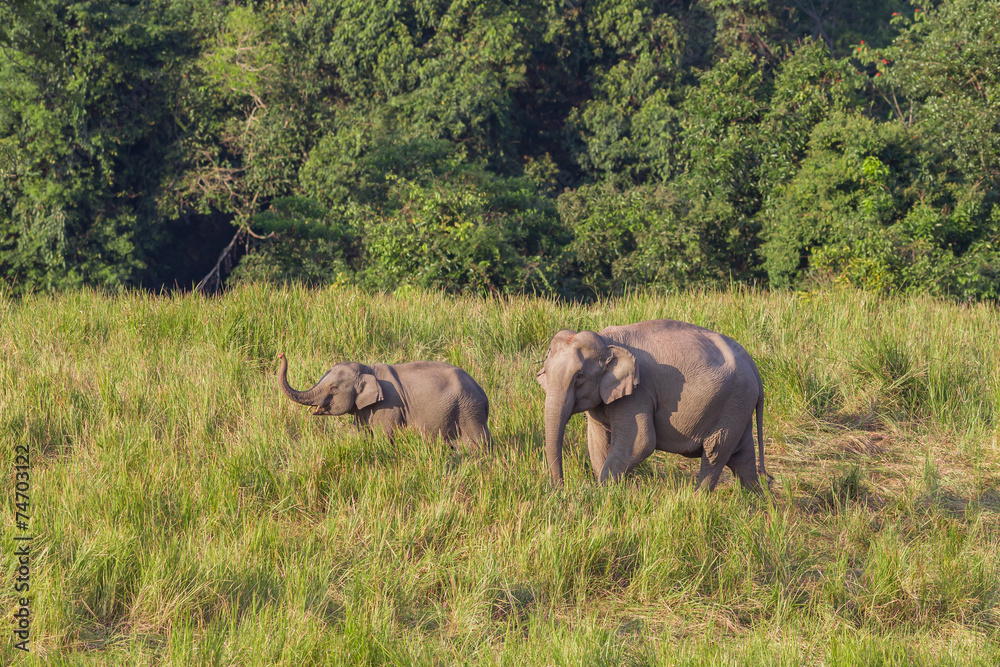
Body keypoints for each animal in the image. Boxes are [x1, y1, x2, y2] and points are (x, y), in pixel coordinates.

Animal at [278, 353, 492, 448]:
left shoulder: (388, 406)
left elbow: (384, 436)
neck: (368, 368)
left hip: (469, 409)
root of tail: (483, 392)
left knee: (478, 441)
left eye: (334, 388)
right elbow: (360, 434)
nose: (281, 354)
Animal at [536, 320, 768, 491]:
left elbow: (640, 442)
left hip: (734, 403)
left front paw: (604, 493)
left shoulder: (638, 394)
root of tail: (754, 366)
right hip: (739, 406)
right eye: (545, 370)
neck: (606, 340)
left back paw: (697, 499)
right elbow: (597, 442)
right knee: (742, 456)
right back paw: (754, 504)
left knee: (715, 452)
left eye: (579, 377)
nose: (560, 489)